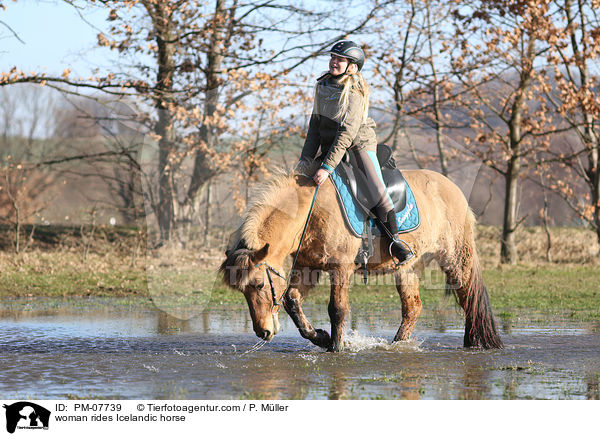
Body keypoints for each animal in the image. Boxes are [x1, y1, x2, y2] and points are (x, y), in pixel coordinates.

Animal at [219, 165, 502, 352]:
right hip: (409, 268)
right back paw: (397, 344)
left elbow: (337, 309)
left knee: (468, 297)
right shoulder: (307, 266)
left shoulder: (340, 268)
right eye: (242, 291)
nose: (263, 332)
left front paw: (336, 346)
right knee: (413, 307)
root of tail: (454, 189)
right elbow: (292, 300)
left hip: (455, 259)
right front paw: (320, 336)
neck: (312, 212)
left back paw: (476, 342)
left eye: (258, 285)